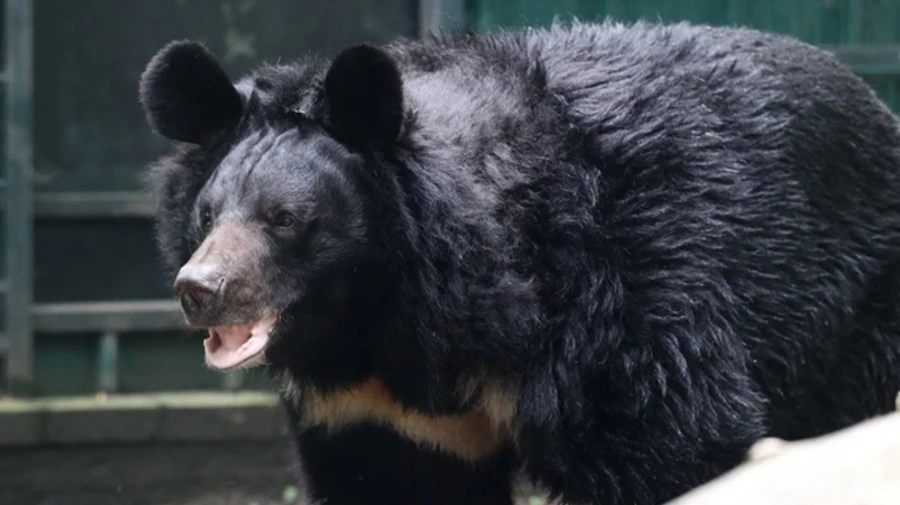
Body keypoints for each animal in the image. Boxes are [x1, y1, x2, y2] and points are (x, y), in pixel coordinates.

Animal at [138, 19, 900, 505]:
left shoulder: (630, 301)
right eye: (208, 214)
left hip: (856, 314)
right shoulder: (387, 413)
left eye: (285, 219)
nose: (200, 289)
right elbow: (394, 481)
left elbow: (670, 443)